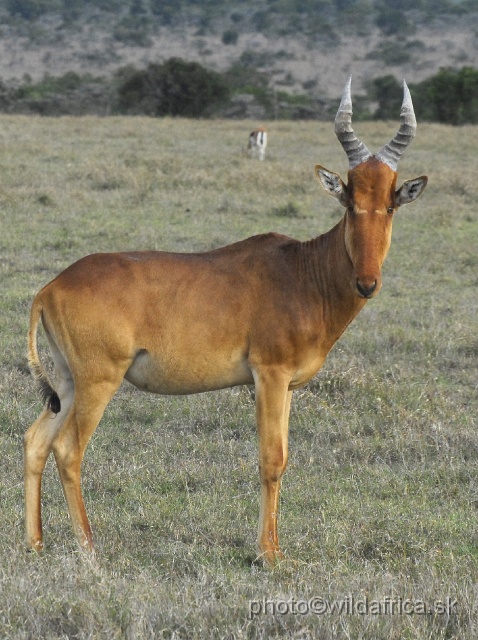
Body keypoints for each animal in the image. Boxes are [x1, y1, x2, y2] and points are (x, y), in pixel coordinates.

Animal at [24, 77, 428, 564]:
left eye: (391, 203)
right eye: (350, 201)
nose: (367, 283)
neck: (301, 271)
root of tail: (50, 288)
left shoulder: (286, 387)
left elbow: (282, 457)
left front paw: (271, 547)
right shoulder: (268, 375)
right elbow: (271, 459)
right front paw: (268, 554)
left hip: (67, 381)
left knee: (35, 440)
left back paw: (35, 543)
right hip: (98, 381)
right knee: (68, 450)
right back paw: (88, 547)